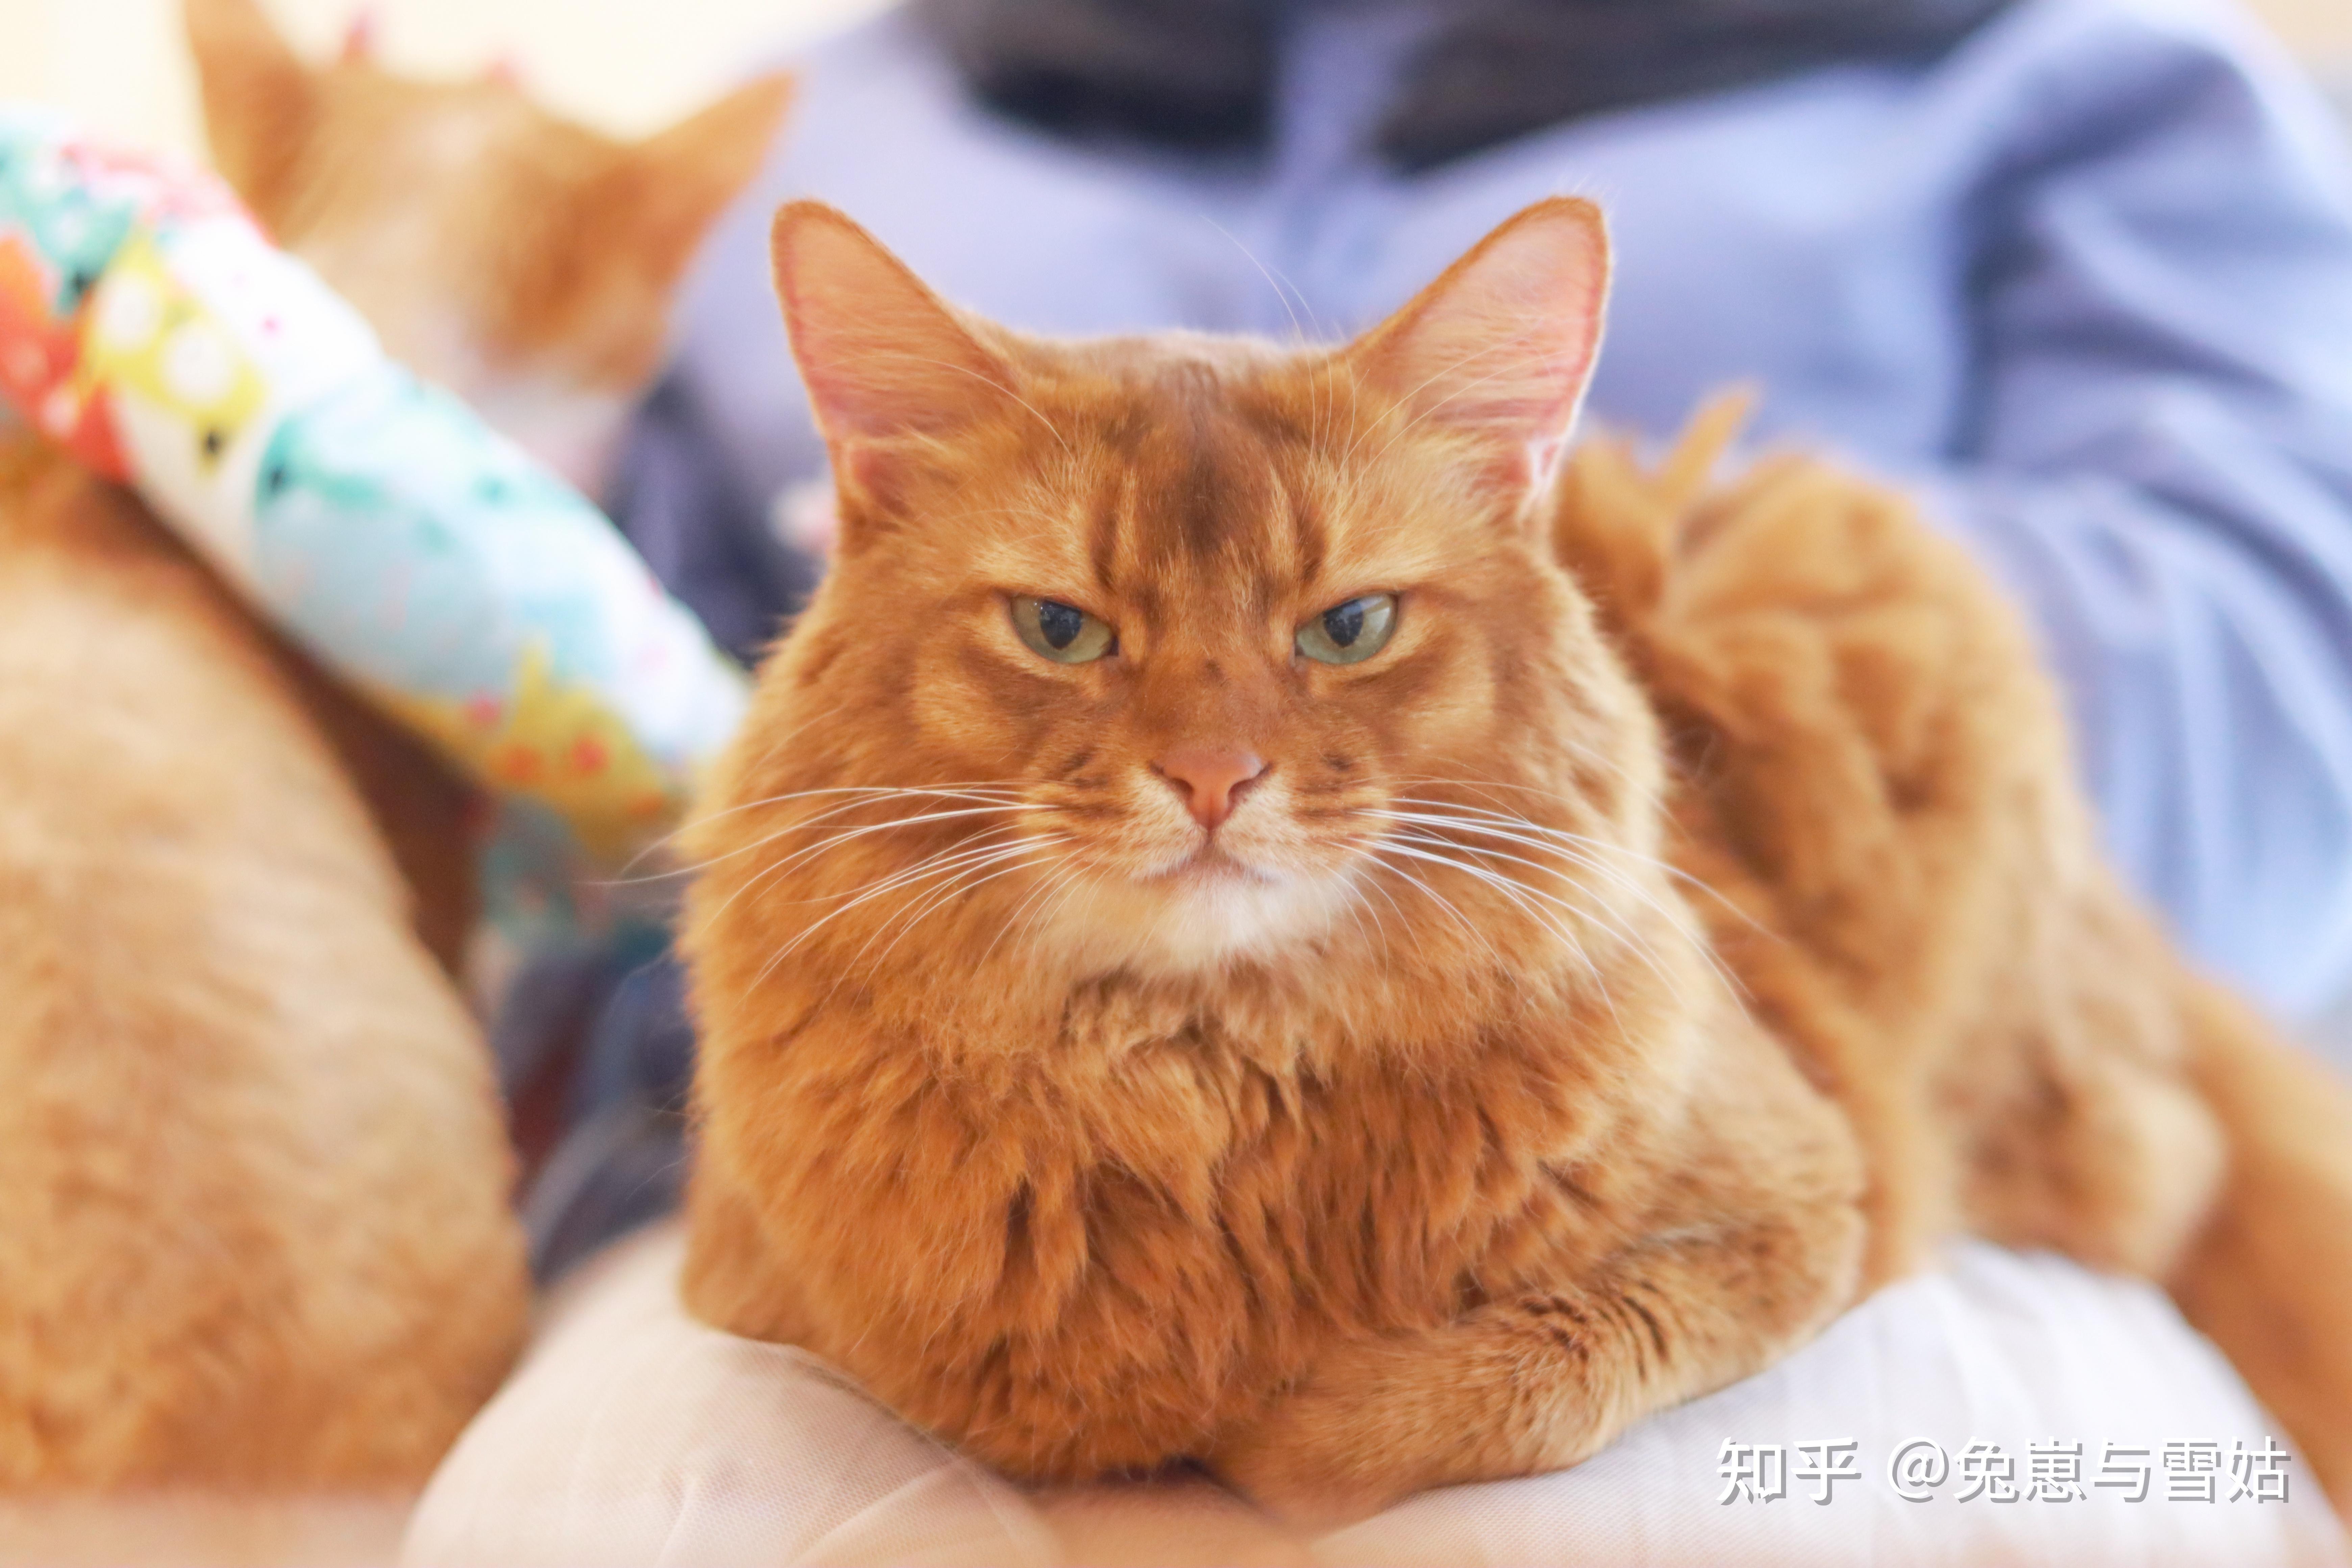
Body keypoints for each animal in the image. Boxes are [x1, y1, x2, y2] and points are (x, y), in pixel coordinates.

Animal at [677, 193, 2352, 1523]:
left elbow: (1488, 1391)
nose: (1214, 778)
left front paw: (1288, 1417)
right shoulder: (776, 1299)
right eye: (1059, 628)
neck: (1211, 1078)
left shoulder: (1818, 1197)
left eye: (1349, 626)